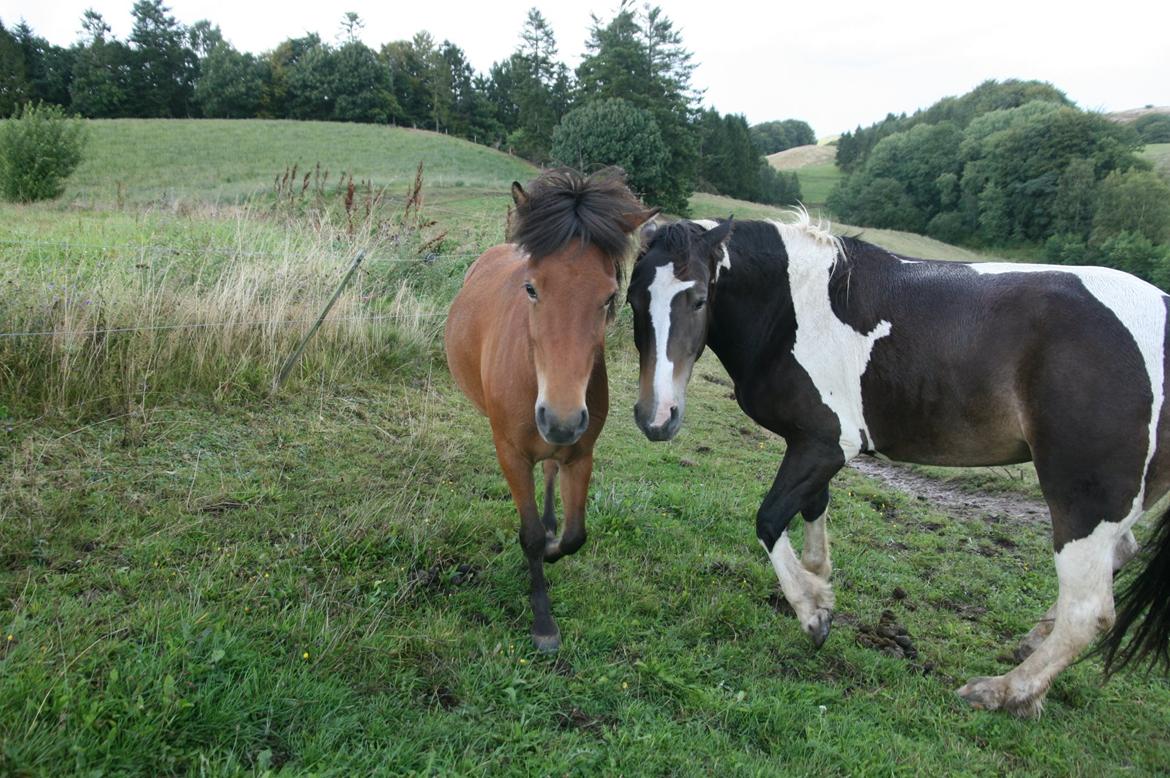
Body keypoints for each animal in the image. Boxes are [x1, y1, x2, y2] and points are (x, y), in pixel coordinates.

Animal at [444, 168, 655, 650]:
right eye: (531, 288)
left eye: (608, 296)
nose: (560, 420)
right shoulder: (511, 453)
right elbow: (531, 537)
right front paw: (543, 621)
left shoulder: (581, 454)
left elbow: (575, 535)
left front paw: (557, 545)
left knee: (551, 471)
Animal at [627, 212, 1170, 715]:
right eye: (633, 300)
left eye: (699, 299)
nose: (657, 417)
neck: (791, 307)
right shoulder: (813, 445)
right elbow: (812, 512)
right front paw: (820, 587)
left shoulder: (825, 444)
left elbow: (770, 519)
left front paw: (812, 613)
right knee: (1118, 556)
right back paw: (1031, 645)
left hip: (1084, 495)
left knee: (1089, 611)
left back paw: (1002, 692)